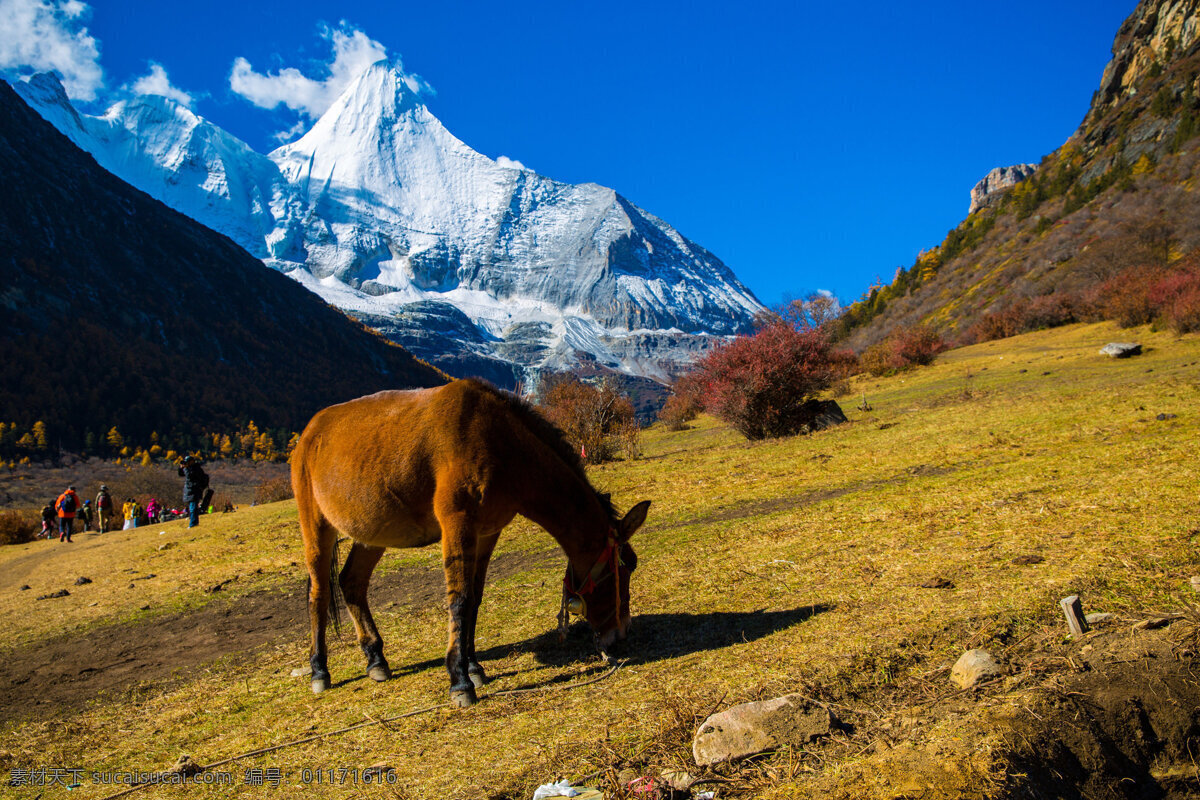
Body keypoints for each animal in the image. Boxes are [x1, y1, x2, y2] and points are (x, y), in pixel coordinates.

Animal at [290, 379, 648, 705]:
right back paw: (319, 669)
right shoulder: (458, 525)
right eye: (625, 568)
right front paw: (460, 680)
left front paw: (474, 666)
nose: (621, 631)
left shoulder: (487, 533)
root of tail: (309, 433)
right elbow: (459, 600)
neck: (503, 444)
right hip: (316, 527)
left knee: (351, 582)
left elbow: (475, 598)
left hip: (372, 532)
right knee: (319, 593)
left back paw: (375, 658)